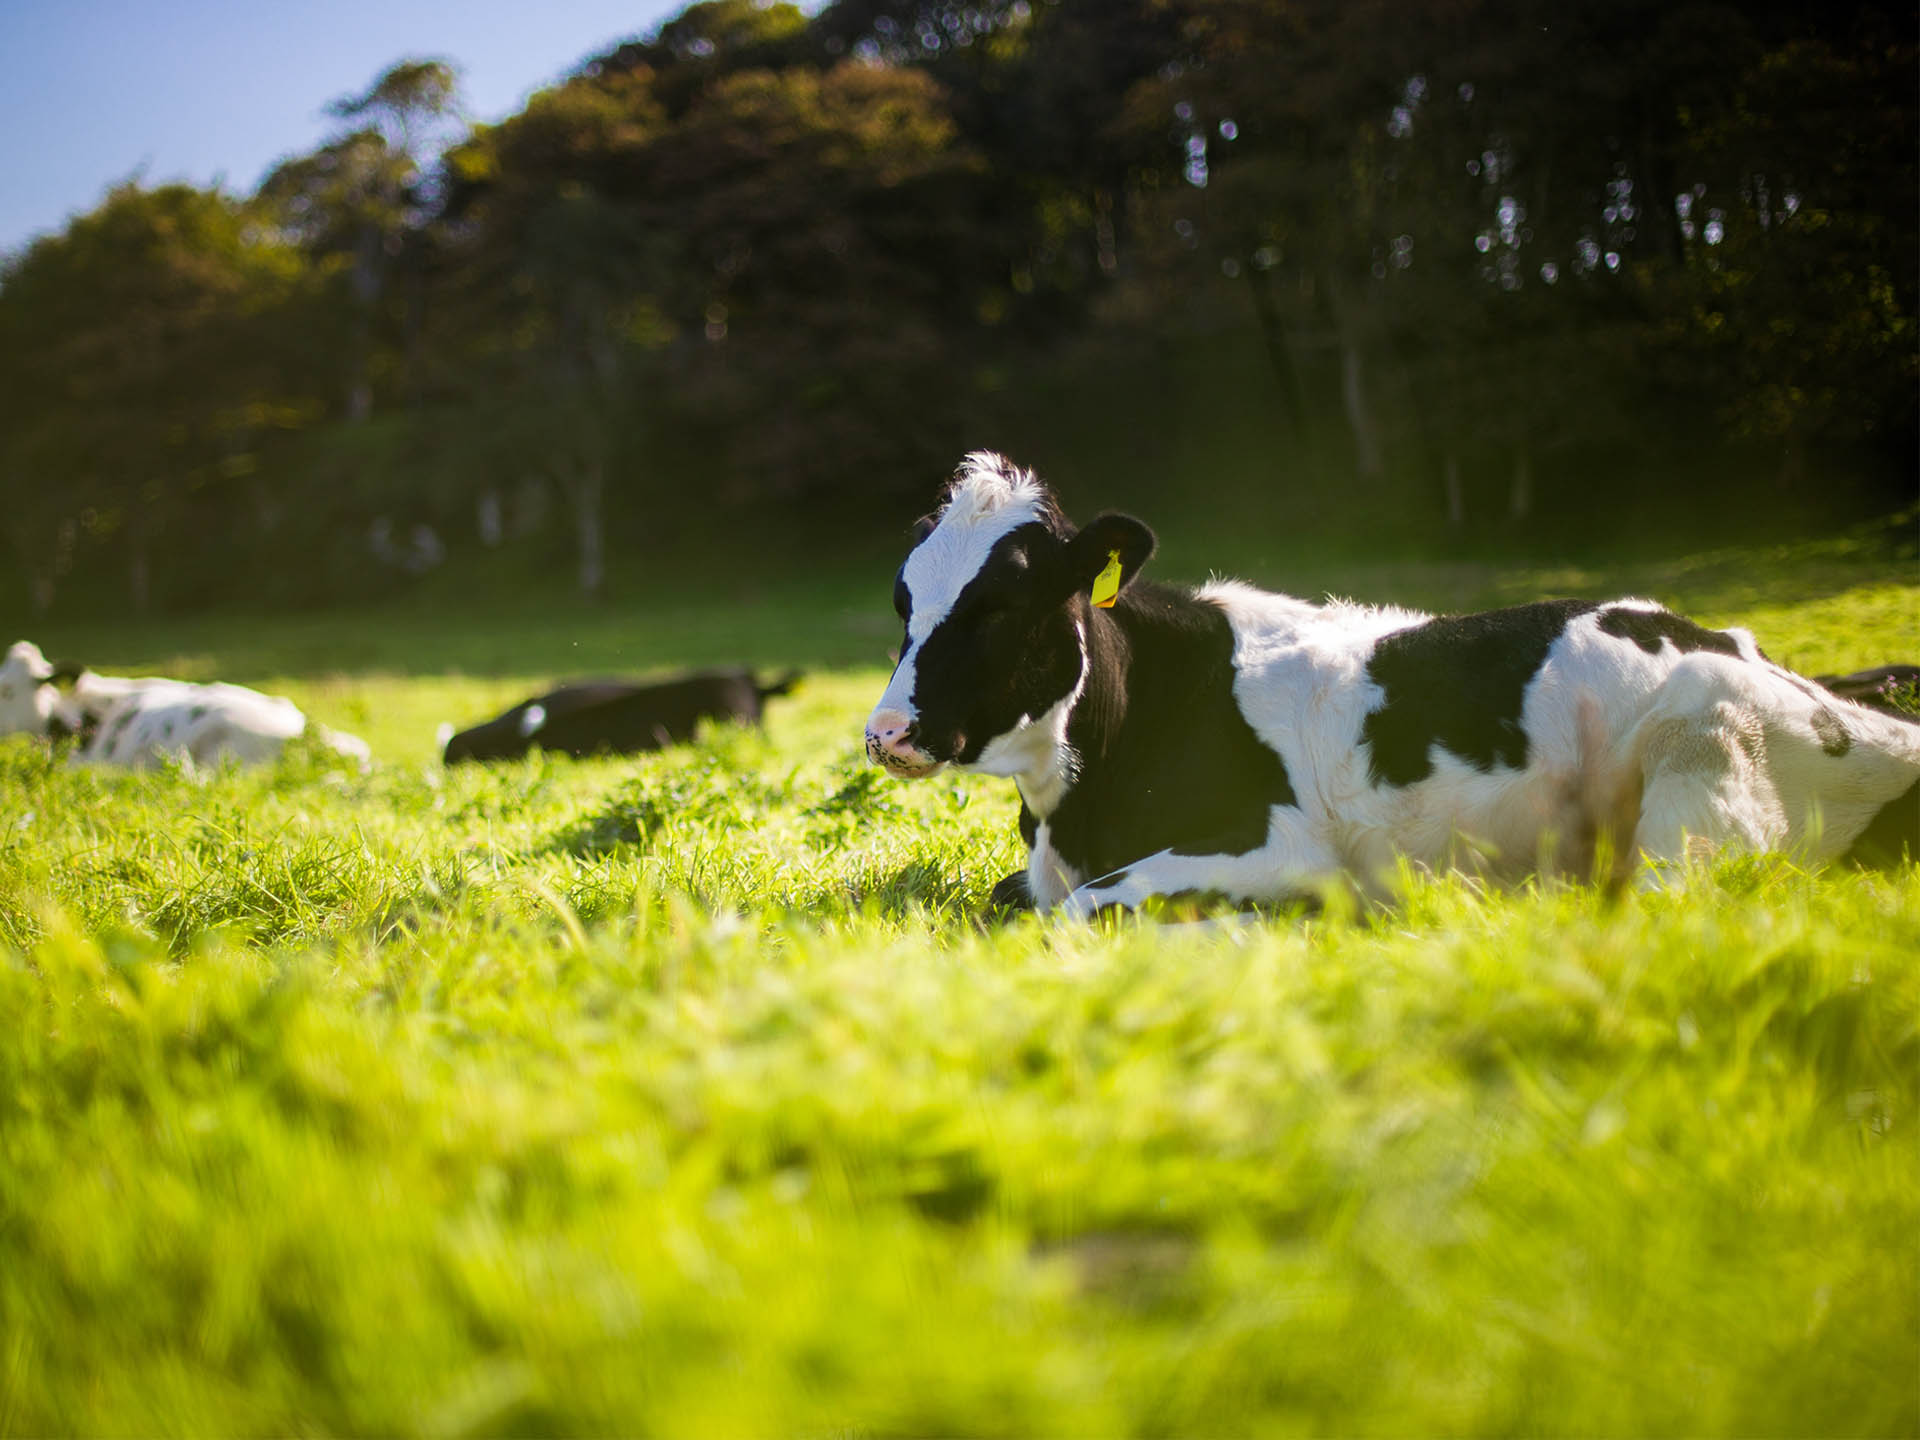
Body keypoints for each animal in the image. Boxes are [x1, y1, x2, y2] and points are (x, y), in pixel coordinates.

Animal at [867, 456, 1920, 917]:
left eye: (1001, 604)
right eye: (903, 596)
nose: (885, 732)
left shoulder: (1279, 841)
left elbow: (1086, 907)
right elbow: (1018, 898)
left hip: (1699, 778)